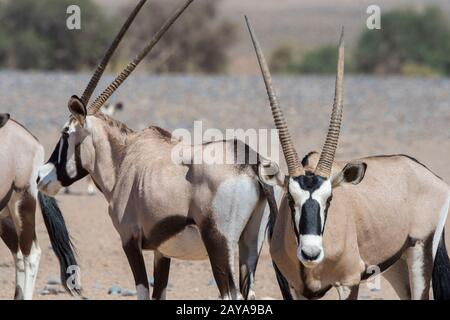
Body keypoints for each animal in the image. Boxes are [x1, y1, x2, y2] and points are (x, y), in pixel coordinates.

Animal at [37, 0, 272, 300]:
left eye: (65, 133)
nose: (41, 176)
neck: (123, 159)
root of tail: (252, 169)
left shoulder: (130, 239)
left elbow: (142, 290)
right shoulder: (162, 252)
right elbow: (159, 292)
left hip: (220, 245)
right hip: (250, 247)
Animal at [246, 18, 450, 300]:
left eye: (330, 199)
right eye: (290, 198)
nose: (311, 253)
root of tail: (427, 173)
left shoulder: (349, 281)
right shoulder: (295, 289)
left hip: (420, 250)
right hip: (395, 264)